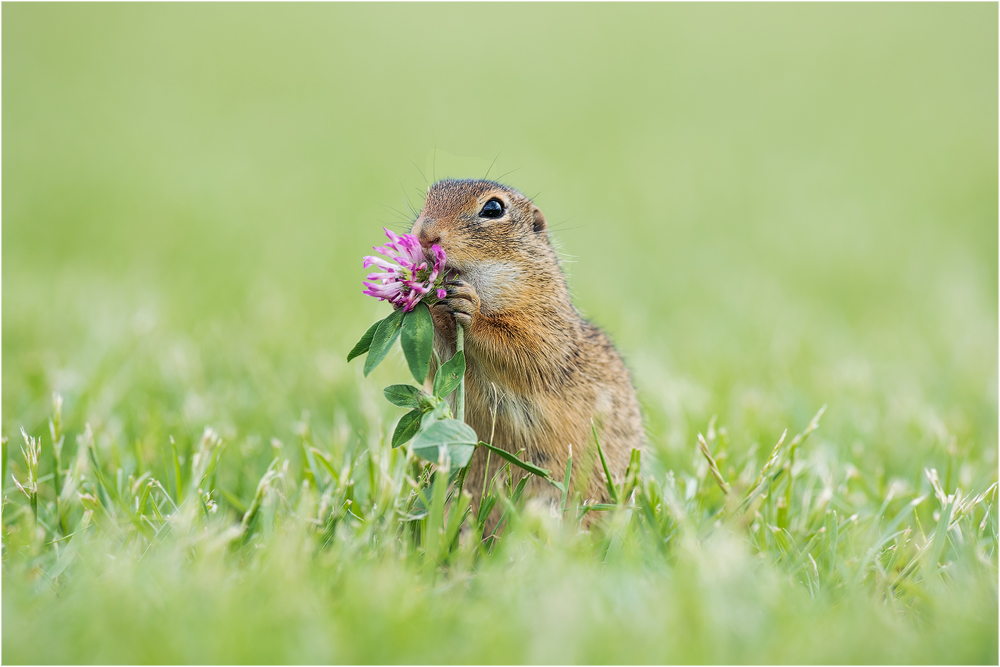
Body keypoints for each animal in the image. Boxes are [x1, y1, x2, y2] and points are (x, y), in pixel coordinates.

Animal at [410, 180, 644, 524]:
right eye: (428, 198)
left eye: (493, 208)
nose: (425, 235)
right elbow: (435, 359)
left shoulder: (546, 325)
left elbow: (524, 350)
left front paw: (470, 310)